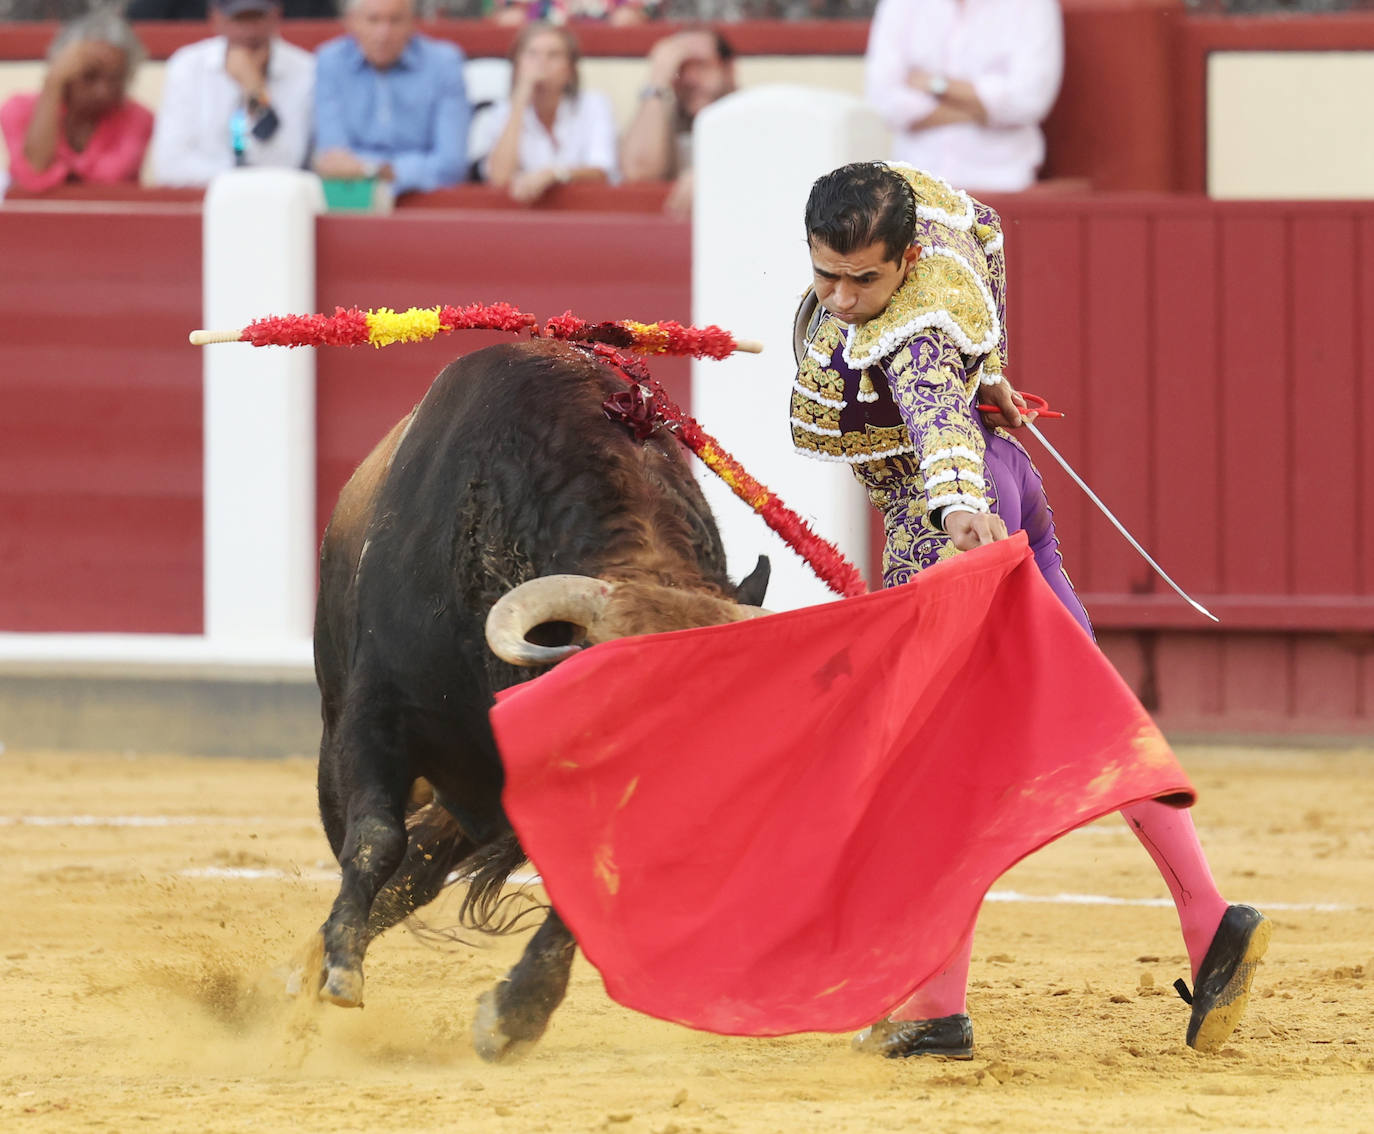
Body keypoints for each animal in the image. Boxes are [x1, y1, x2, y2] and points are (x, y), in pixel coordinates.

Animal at [300, 338, 769, 1061]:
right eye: (616, 704)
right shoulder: (376, 720)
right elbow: (376, 839)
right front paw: (339, 968)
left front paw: (514, 1015)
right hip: (339, 730)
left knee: (421, 871)